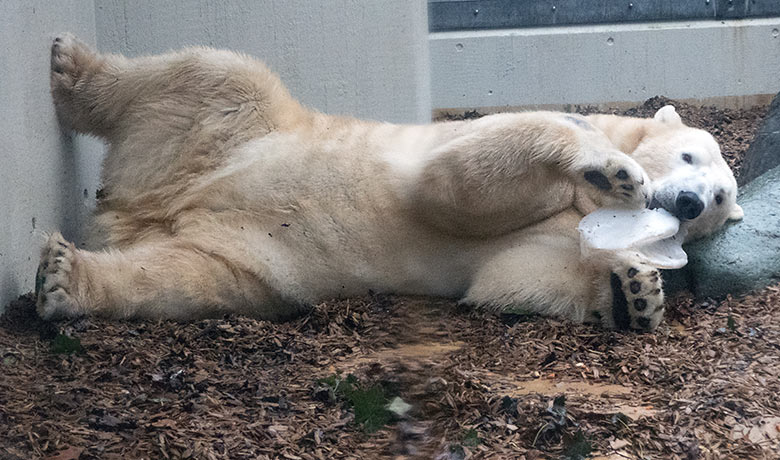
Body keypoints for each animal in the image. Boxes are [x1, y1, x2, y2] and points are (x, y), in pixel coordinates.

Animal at [38, 36, 744, 330]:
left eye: (717, 201)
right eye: (688, 157)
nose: (687, 202)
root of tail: (145, 204)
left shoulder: (556, 237)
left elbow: (513, 274)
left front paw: (636, 291)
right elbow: (451, 183)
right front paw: (610, 168)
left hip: (253, 261)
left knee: (184, 279)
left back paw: (67, 280)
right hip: (226, 127)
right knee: (210, 74)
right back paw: (72, 68)